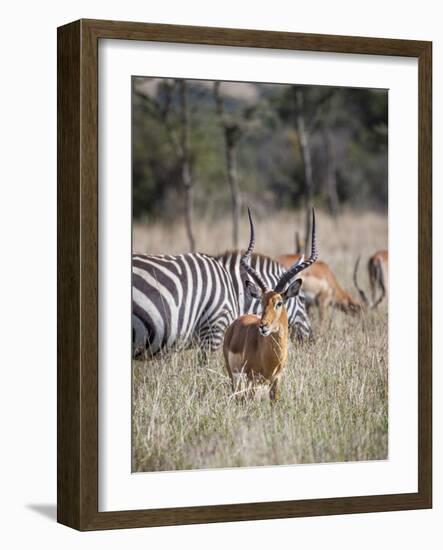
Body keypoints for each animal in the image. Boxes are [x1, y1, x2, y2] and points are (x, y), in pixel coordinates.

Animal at [224, 209, 318, 404]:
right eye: (261, 301)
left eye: (279, 302)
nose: (263, 326)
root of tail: (236, 322)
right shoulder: (252, 379)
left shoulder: (276, 381)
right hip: (235, 377)